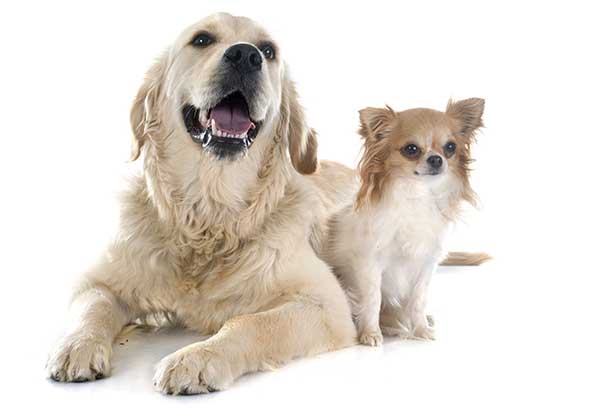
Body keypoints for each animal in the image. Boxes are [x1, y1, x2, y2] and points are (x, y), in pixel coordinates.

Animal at [48, 12, 356, 394]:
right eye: (201, 40)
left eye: (268, 50)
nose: (246, 55)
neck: (211, 212)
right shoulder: (100, 279)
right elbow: (93, 306)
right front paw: (76, 346)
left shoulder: (327, 305)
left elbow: (248, 322)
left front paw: (196, 358)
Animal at [324, 99, 488, 346]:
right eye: (411, 149)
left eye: (450, 147)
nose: (436, 159)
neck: (417, 196)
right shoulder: (370, 263)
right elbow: (372, 299)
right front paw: (370, 333)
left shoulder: (425, 264)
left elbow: (418, 301)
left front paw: (420, 329)